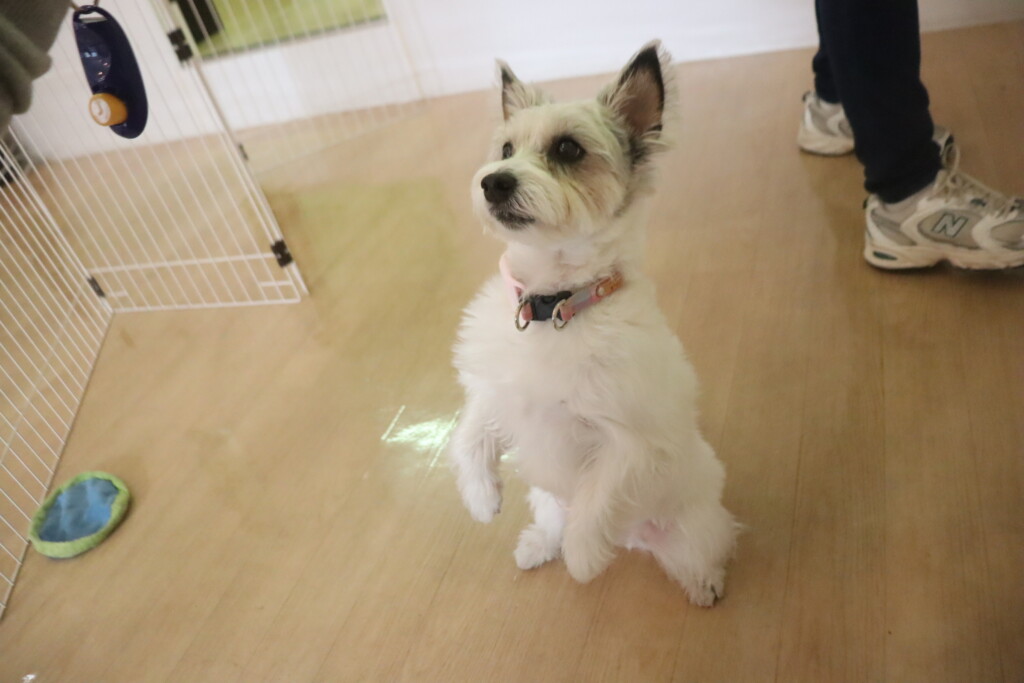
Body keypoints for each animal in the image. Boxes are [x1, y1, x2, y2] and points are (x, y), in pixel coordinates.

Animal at [449, 41, 738, 607]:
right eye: (506, 148)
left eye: (568, 149)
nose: (494, 181)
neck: (554, 304)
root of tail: (634, 539)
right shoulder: (497, 393)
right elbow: (468, 436)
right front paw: (481, 498)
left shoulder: (631, 443)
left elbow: (597, 499)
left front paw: (584, 559)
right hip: (544, 496)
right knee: (553, 517)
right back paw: (538, 544)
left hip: (691, 528)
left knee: (695, 549)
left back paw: (701, 582)